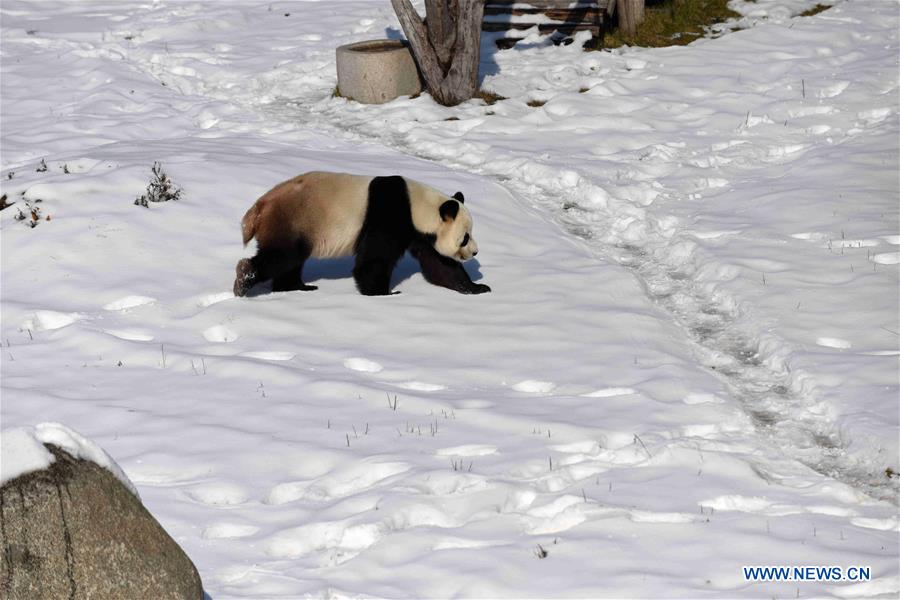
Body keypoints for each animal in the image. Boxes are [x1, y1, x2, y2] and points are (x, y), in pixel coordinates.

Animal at [234, 171, 491, 296]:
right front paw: (384, 293)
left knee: (290, 262)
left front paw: (477, 288)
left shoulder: (419, 233)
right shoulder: (389, 216)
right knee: (283, 256)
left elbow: (440, 264)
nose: (475, 252)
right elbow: (375, 259)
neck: (417, 204)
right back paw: (244, 279)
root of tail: (261, 205)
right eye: (465, 237)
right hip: (294, 218)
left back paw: (296, 287)